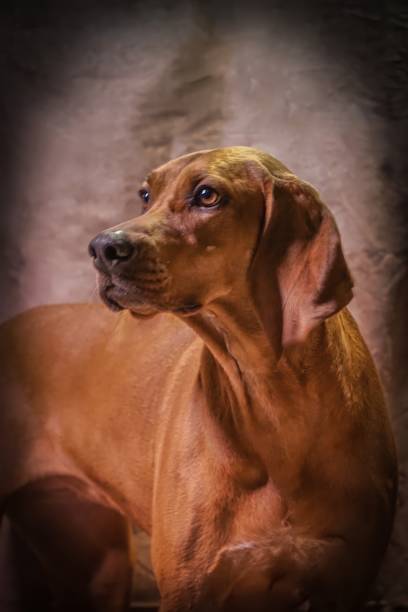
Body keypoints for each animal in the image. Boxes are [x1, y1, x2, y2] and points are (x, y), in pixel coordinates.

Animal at [0, 148, 396, 612]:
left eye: (207, 195)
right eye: (145, 195)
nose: (101, 248)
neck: (276, 404)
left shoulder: (345, 582)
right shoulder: (190, 588)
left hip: (96, 564)